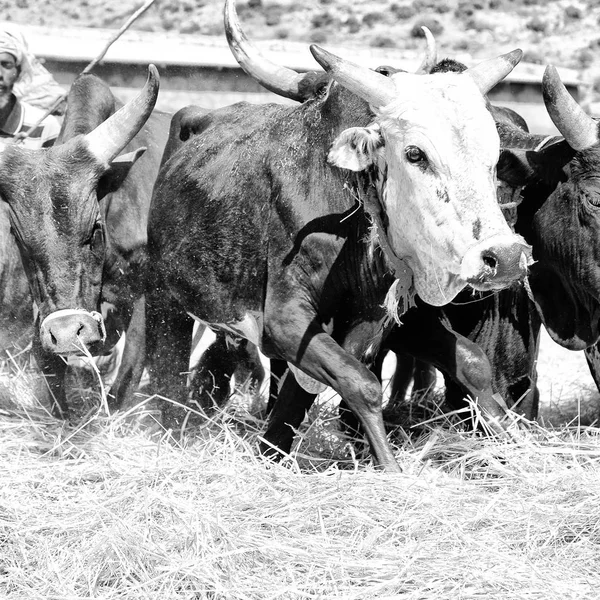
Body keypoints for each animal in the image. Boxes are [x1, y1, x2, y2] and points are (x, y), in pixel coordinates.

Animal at [0, 68, 168, 418]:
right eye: (18, 237)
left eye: (94, 228)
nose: (67, 333)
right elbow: (50, 370)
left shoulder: (146, 296)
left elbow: (127, 375)